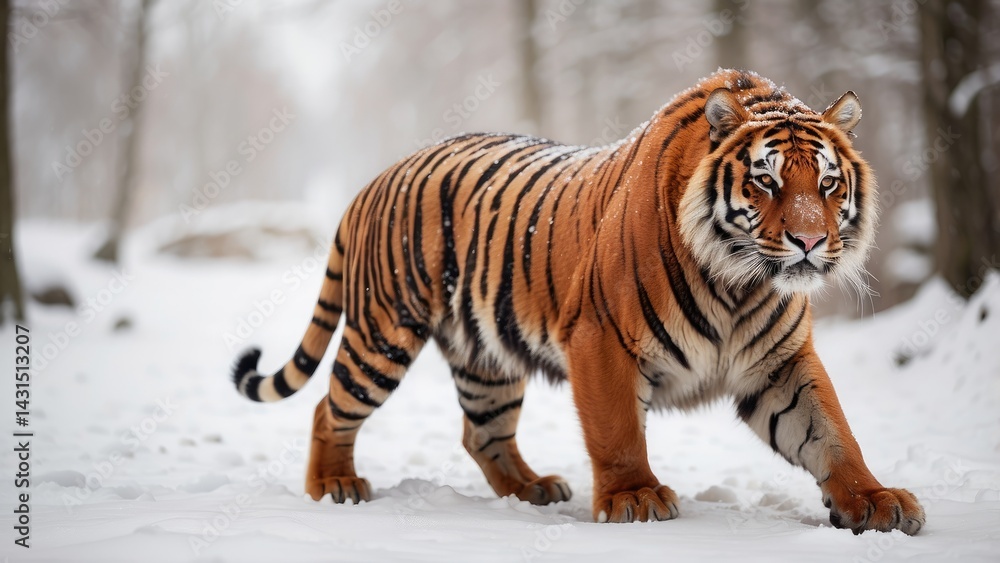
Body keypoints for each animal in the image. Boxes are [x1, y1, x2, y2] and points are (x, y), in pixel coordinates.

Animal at [230, 69, 925, 534]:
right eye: (765, 180)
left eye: (828, 183)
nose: (810, 241)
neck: (741, 282)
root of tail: (374, 180)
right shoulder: (601, 337)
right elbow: (617, 432)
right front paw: (635, 499)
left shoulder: (779, 362)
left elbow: (830, 432)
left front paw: (875, 500)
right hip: (383, 334)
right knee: (329, 407)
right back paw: (335, 486)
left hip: (486, 357)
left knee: (481, 432)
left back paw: (533, 489)